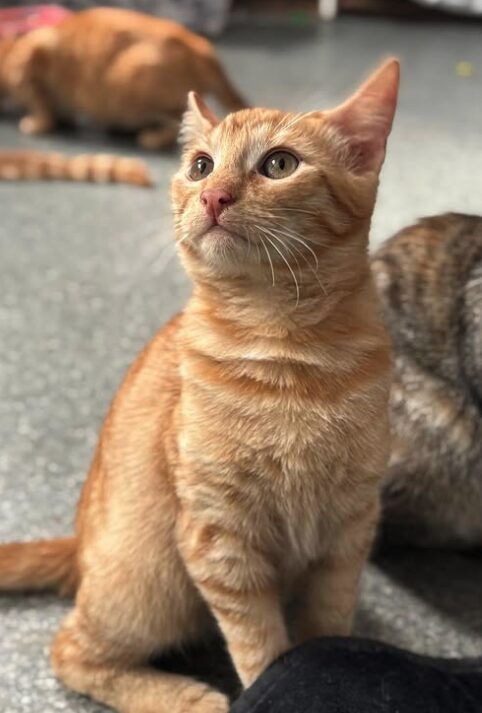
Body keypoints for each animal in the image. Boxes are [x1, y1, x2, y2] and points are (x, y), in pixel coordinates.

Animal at [0, 6, 247, 148]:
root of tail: (201, 45)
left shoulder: (33, 57)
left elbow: (40, 106)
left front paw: (36, 123)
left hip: (133, 81)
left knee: (176, 122)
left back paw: (151, 137)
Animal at [0, 61, 400, 712]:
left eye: (279, 164)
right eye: (201, 166)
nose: (213, 196)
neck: (288, 358)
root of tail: (79, 545)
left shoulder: (350, 527)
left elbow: (327, 621)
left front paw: (326, 662)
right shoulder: (218, 534)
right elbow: (258, 643)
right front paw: (271, 685)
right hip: (150, 588)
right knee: (70, 650)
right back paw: (186, 696)